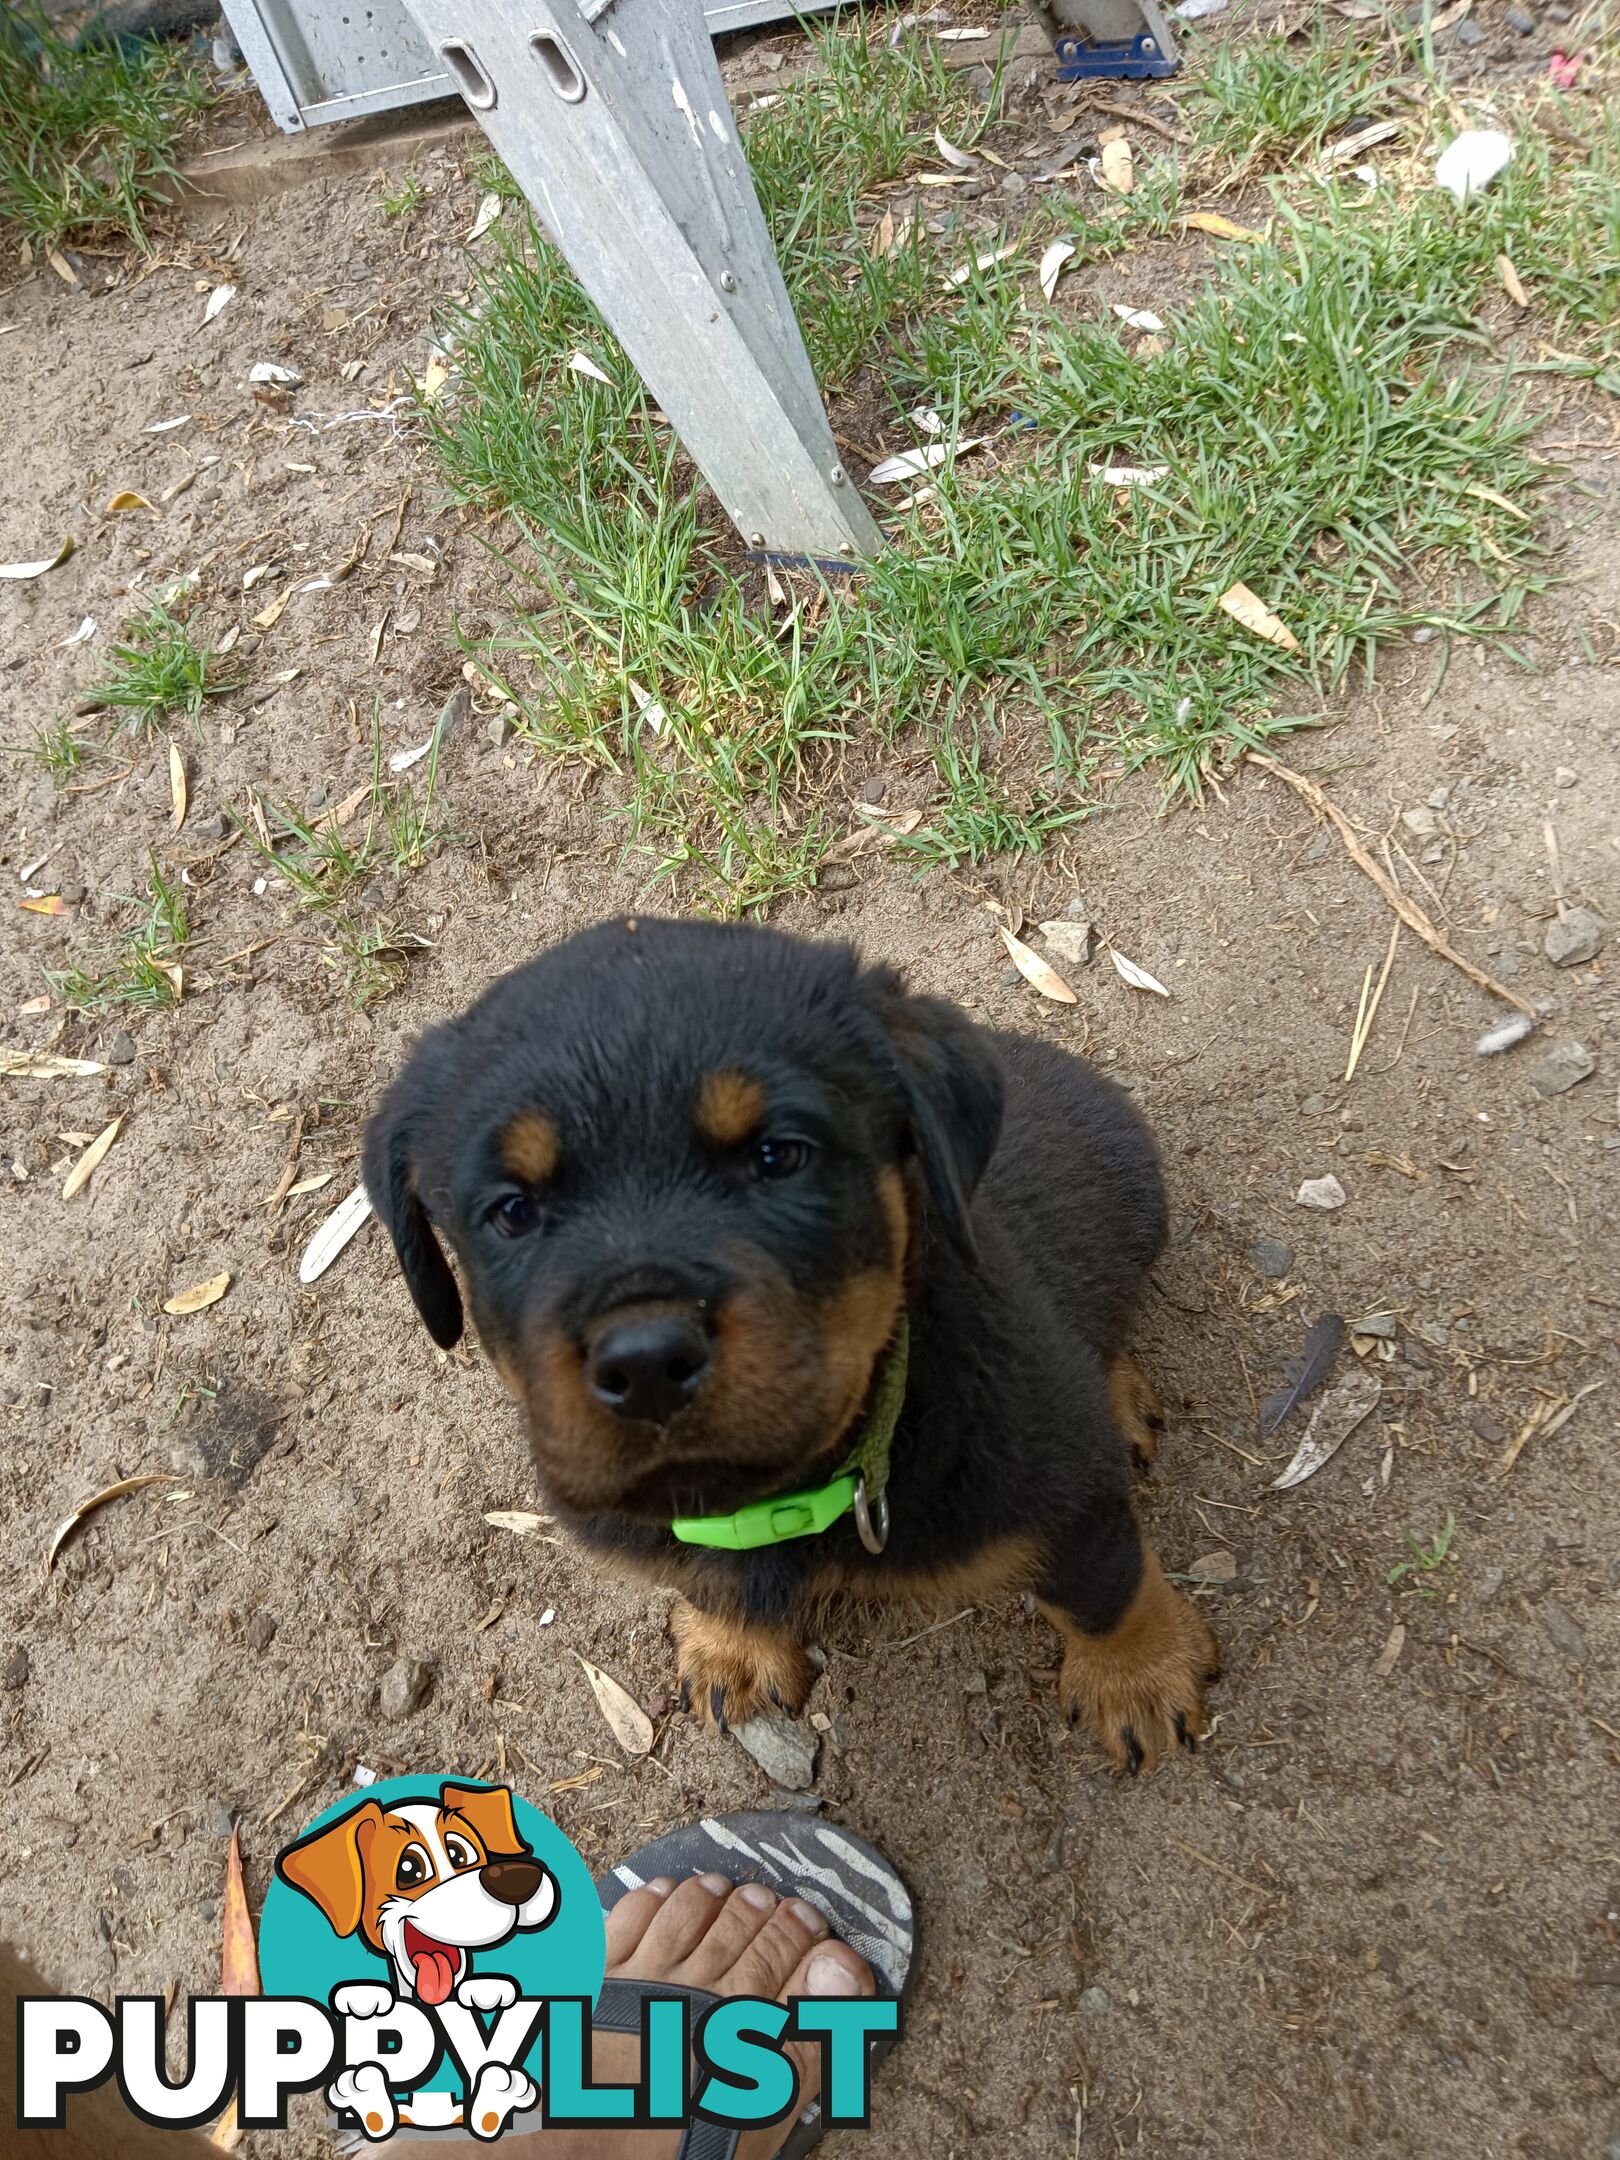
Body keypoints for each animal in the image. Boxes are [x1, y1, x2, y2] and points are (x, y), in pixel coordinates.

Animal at [367, 911, 1226, 1771]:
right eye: (512, 1211)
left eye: (777, 1156)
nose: (646, 1364)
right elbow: (710, 1576)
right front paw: (732, 1647)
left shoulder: (1068, 1490)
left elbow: (1103, 1590)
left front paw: (1139, 1679)